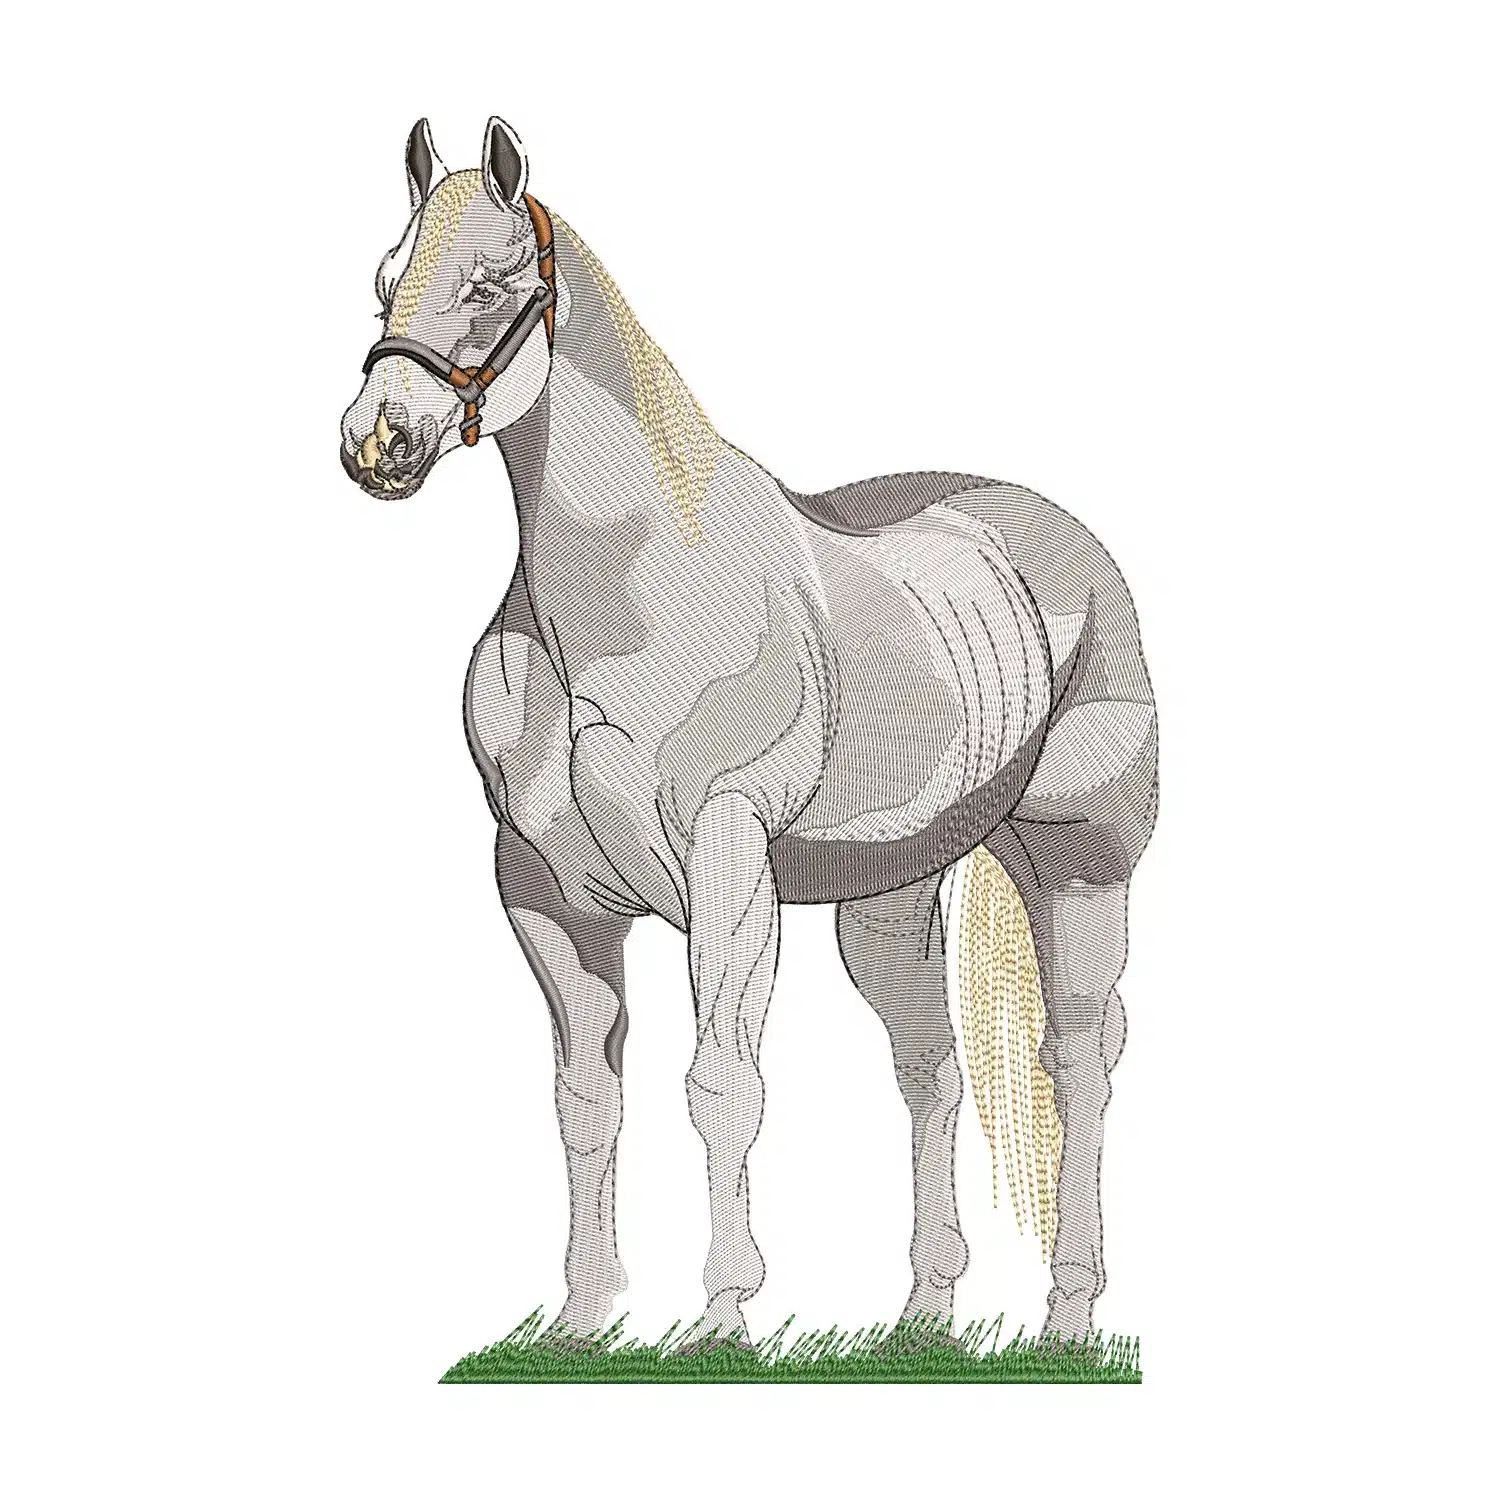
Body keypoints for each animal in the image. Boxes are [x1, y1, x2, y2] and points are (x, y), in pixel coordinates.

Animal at [339, 116, 1157, 1348]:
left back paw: (1068, 1312)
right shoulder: (542, 892)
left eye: (490, 284)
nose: (376, 442)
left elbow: (721, 1083)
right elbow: (586, 1100)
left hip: (1079, 864)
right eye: (385, 281)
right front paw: (583, 1316)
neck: (626, 591)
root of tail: (1059, 539)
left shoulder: (729, 864)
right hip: (890, 899)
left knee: (1080, 1058)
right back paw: (924, 1313)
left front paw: (723, 1310)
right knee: (931, 1068)